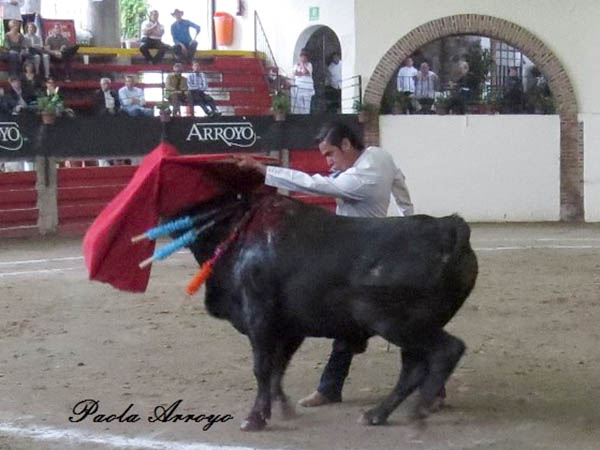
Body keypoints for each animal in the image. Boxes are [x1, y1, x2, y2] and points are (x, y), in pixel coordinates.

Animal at [176, 191, 478, 431]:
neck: (238, 231)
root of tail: (449, 228)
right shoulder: (290, 328)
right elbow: (278, 368)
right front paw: (284, 408)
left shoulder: (259, 317)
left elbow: (263, 367)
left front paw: (255, 418)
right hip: (414, 326)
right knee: (414, 369)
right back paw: (378, 414)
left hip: (394, 322)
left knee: (445, 351)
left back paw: (419, 410)